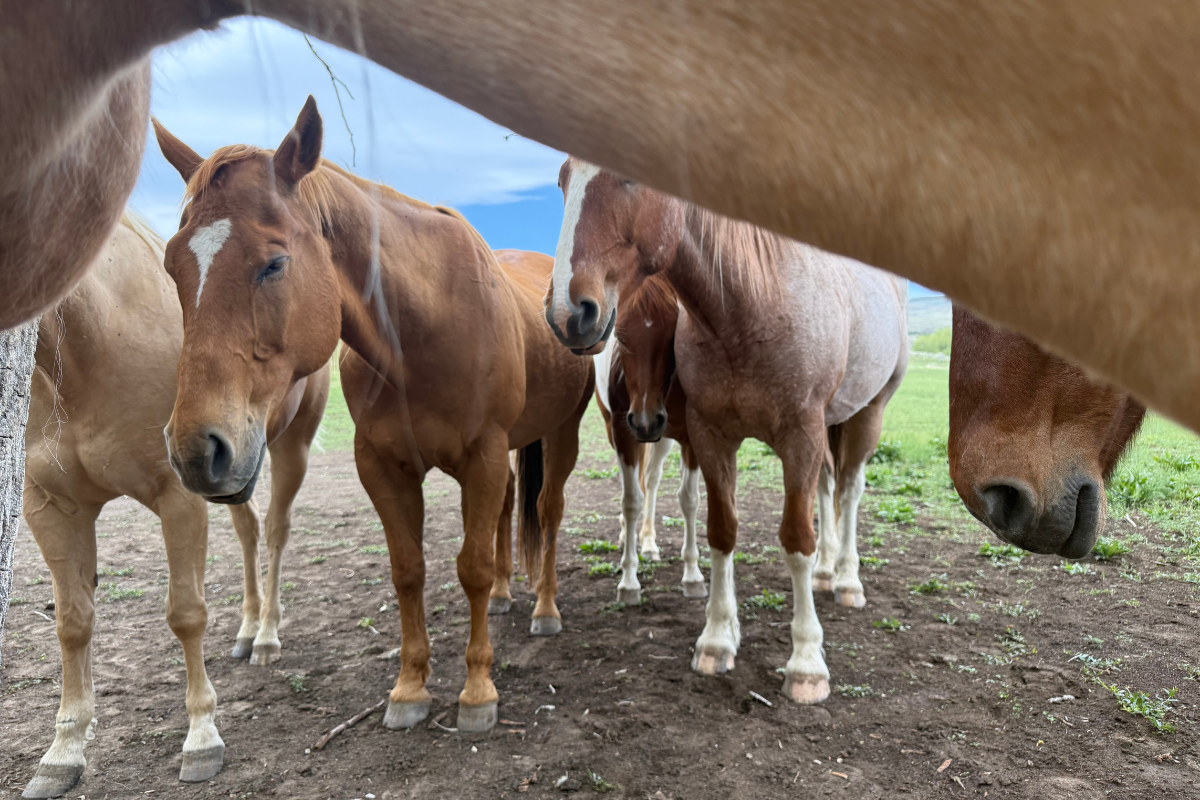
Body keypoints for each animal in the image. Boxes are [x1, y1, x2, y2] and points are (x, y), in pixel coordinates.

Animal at [19, 214, 328, 799]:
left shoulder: (178, 494)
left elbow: (186, 614)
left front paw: (202, 738)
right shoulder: (51, 507)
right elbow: (72, 622)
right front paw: (62, 751)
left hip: (287, 447)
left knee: (277, 531)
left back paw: (267, 636)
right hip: (233, 474)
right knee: (250, 530)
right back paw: (247, 630)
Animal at [150, 98, 593, 734]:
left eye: (274, 263)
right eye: (173, 266)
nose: (195, 450)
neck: (422, 331)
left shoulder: (482, 457)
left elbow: (472, 567)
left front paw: (477, 692)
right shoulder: (383, 466)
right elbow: (408, 570)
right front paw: (409, 688)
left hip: (561, 434)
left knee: (547, 511)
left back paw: (545, 608)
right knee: (513, 505)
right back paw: (509, 596)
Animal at [592, 276, 706, 604]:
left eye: (672, 334)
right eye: (620, 334)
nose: (644, 420)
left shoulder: (689, 439)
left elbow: (688, 499)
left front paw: (693, 576)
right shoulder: (624, 434)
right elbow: (631, 500)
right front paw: (629, 581)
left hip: (662, 438)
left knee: (652, 480)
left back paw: (649, 541)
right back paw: (627, 536)